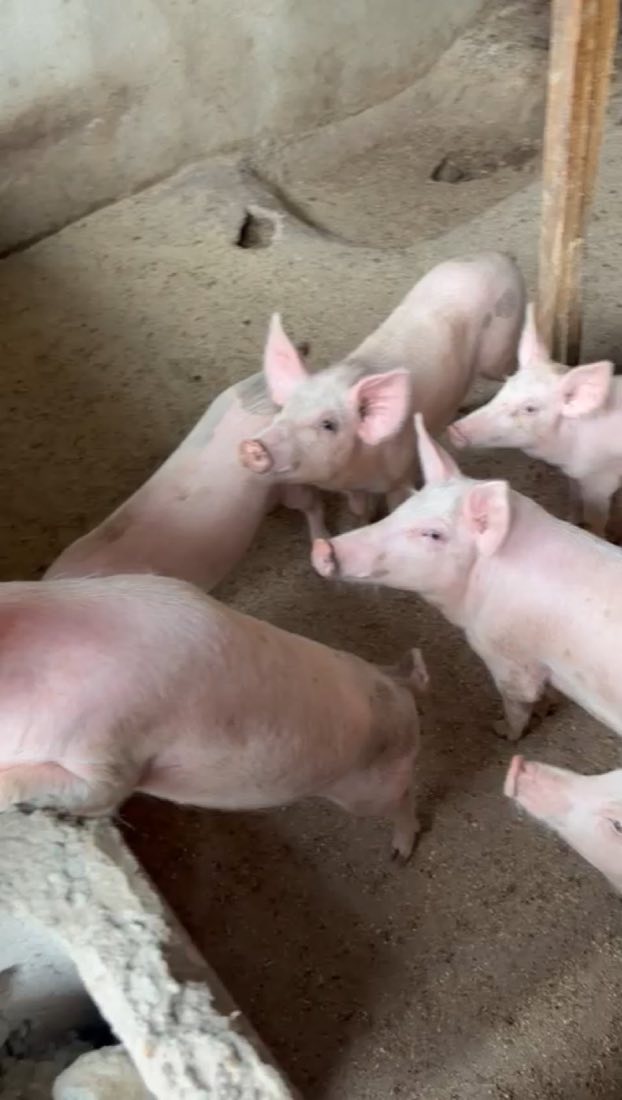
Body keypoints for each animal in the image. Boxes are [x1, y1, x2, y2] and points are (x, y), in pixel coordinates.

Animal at [0, 574, 429, 859]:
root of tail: (398, 685)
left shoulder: (114, 748)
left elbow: (100, 792)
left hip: (369, 790)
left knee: (405, 795)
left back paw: (400, 853)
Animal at [239, 253, 525, 518]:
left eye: (328, 424)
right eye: (284, 410)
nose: (253, 447)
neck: (358, 469)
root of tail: (498, 257)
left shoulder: (401, 473)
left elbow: (395, 505)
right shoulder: (352, 487)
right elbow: (359, 510)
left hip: (498, 349)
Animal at [312, 413, 622, 743]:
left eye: (433, 534)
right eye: (403, 508)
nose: (322, 548)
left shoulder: (505, 656)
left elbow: (519, 701)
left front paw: (502, 731)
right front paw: (547, 708)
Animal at [449, 303, 620, 537]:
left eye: (530, 409)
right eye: (505, 387)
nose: (455, 430)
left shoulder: (601, 483)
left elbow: (596, 520)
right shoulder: (575, 476)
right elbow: (575, 499)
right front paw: (572, 520)